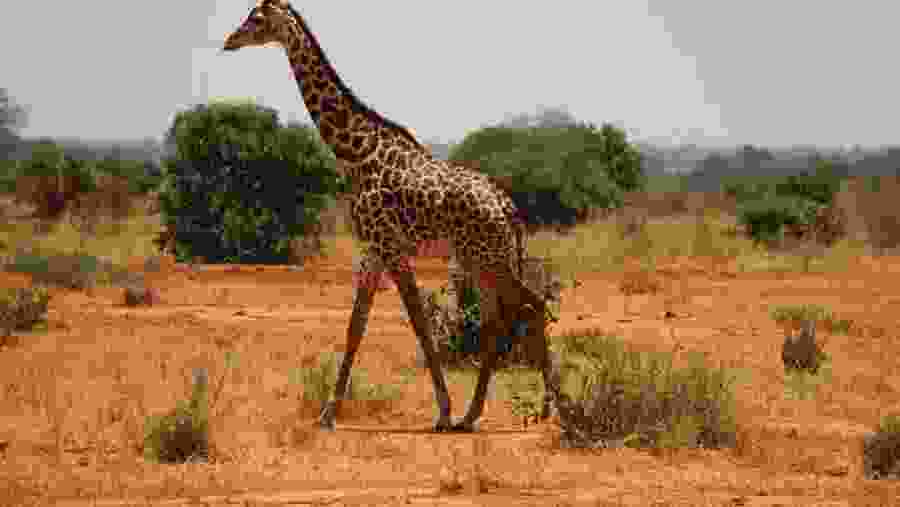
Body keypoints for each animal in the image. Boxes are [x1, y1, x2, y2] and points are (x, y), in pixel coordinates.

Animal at [223, 0, 562, 432]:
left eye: (256, 18)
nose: (230, 41)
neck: (354, 152)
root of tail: (508, 206)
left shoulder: (391, 247)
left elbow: (419, 324)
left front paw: (442, 411)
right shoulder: (372, 251)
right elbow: (355, 327)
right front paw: (328, 414)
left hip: (490, 258)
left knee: (530, 306)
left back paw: (548, 409)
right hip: (479, 260)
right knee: (497, 319)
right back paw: (473, 416)